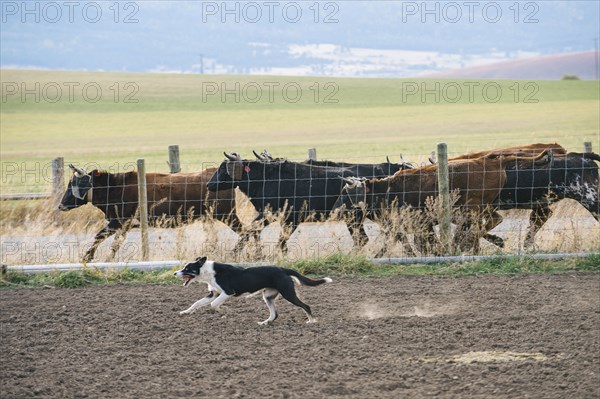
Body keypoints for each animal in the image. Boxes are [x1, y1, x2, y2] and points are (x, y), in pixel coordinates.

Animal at [58, 166, 237, 262]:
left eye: (75, 184)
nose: (61, 205)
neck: (116, 188)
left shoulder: (120, 222)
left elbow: (101, 237)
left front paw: (89, 257)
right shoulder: (121, 224)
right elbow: (112, 241)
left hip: (228, 215)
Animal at [173, 258, 332, 326]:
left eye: (187, 268)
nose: (175, 273)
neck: (210, 273)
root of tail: (283, 269)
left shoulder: (227, 292)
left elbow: (214, 305)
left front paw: (225, 311)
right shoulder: (214, 294)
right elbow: (197, 303)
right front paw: (185, 312)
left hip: (288, 294)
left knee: (306, 306)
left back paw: (311, 321)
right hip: (268, 296)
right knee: (274, 314)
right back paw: (264, 323)